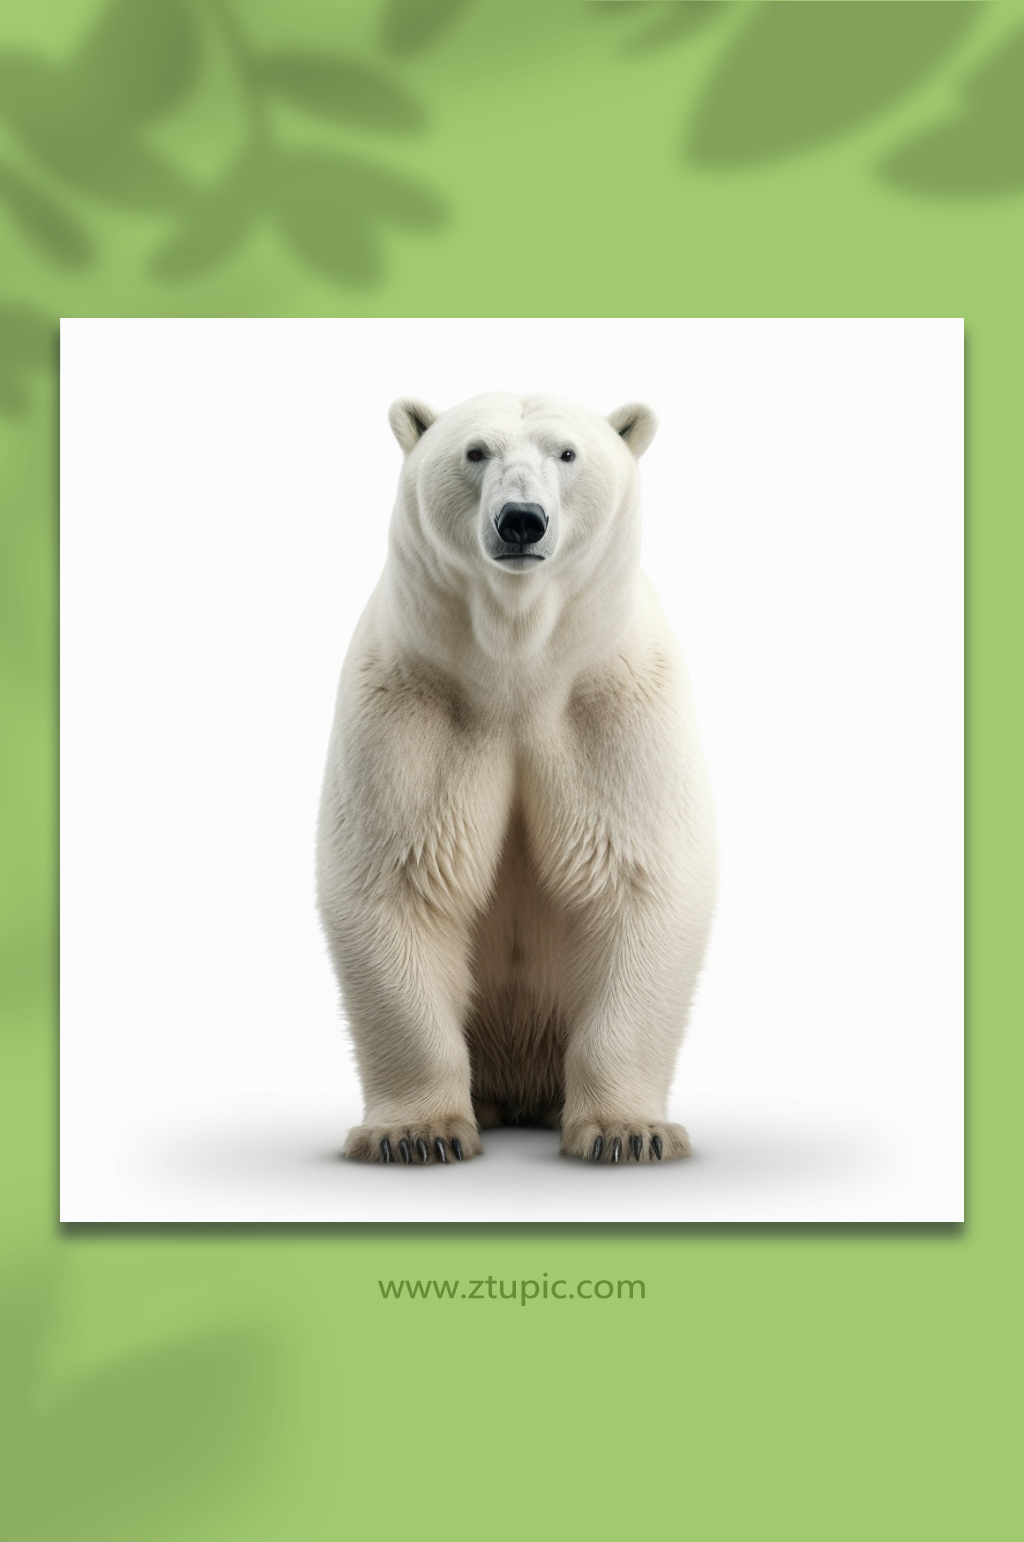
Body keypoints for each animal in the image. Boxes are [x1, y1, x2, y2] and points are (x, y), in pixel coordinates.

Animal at [317, 392, 716, 1164]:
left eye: (567, 452)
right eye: (475, 452)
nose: (521, 520)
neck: (516, 670)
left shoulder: (611, 710)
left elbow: (637, 880)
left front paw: (629, 1132)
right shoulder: (414, 710)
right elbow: (399, 882)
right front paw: (416, 1135)